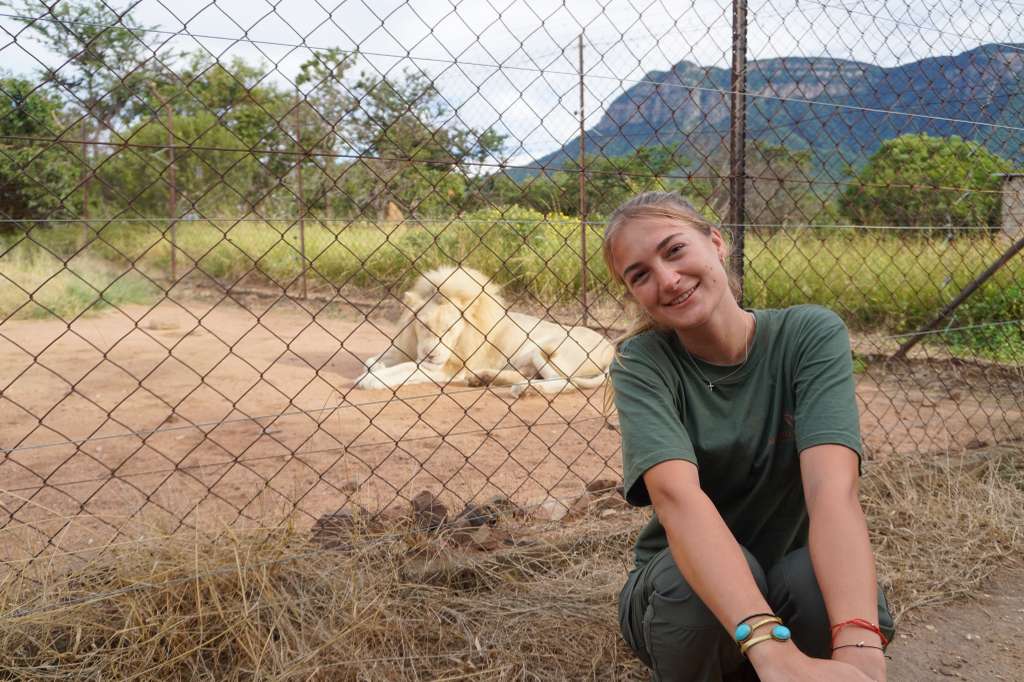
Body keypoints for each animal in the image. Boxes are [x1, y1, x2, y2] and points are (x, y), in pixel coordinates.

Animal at [354, 266, 614, 397]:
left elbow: (405, 369)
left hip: (547, 349)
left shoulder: (448, 369)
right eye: (424, 326)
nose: (430, 354)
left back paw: (527, 390)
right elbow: (372, 361)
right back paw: (483, 378)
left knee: (566, 382)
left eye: (450, 329)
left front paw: (370, 379)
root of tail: (611, 349)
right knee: (528, 373)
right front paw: (376, 366)